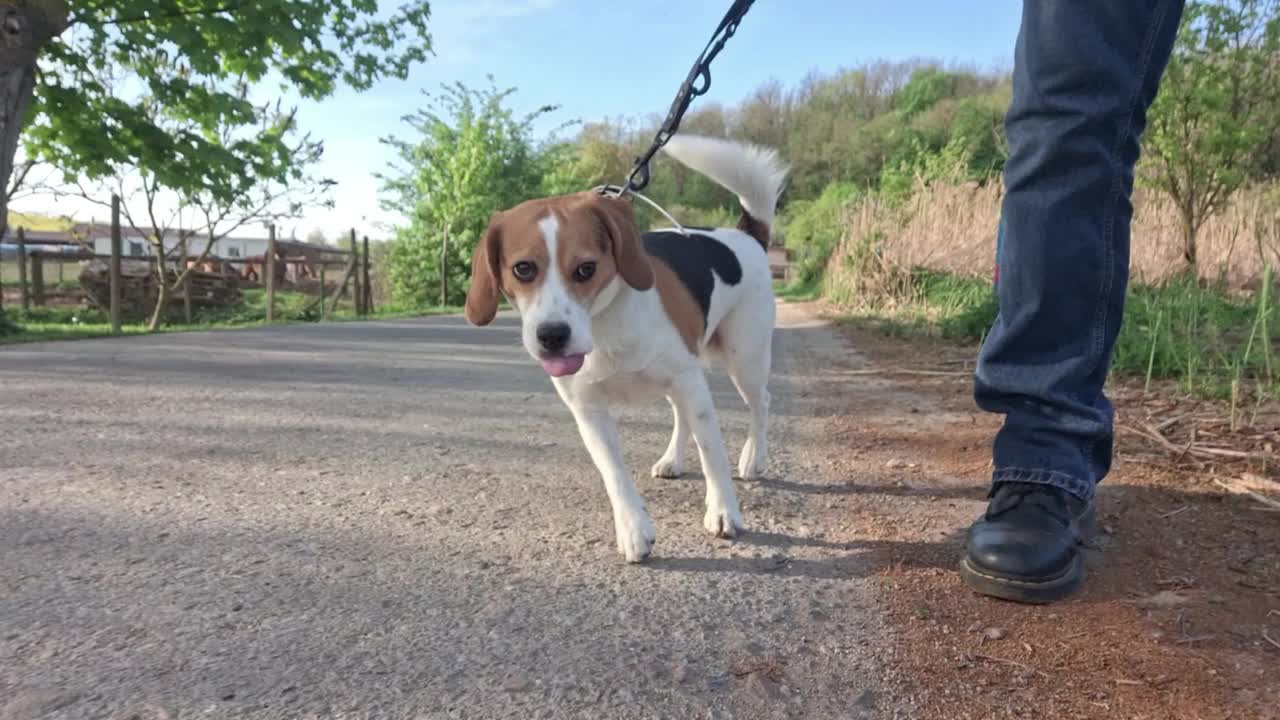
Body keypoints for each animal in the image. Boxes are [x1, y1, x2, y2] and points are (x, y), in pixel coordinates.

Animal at [468, 134, 788, 561]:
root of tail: (746, 234)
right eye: (523, 269)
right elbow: (614, 474)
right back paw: (672, 460)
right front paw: (633, 529)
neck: (604, 325)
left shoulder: (692, 387)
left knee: (761, 403)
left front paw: (724, 511)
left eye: (586, 269)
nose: (552, 336)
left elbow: (713, 456)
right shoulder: (589, 411)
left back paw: (755, 457)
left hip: (744, 358)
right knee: (682, 417)